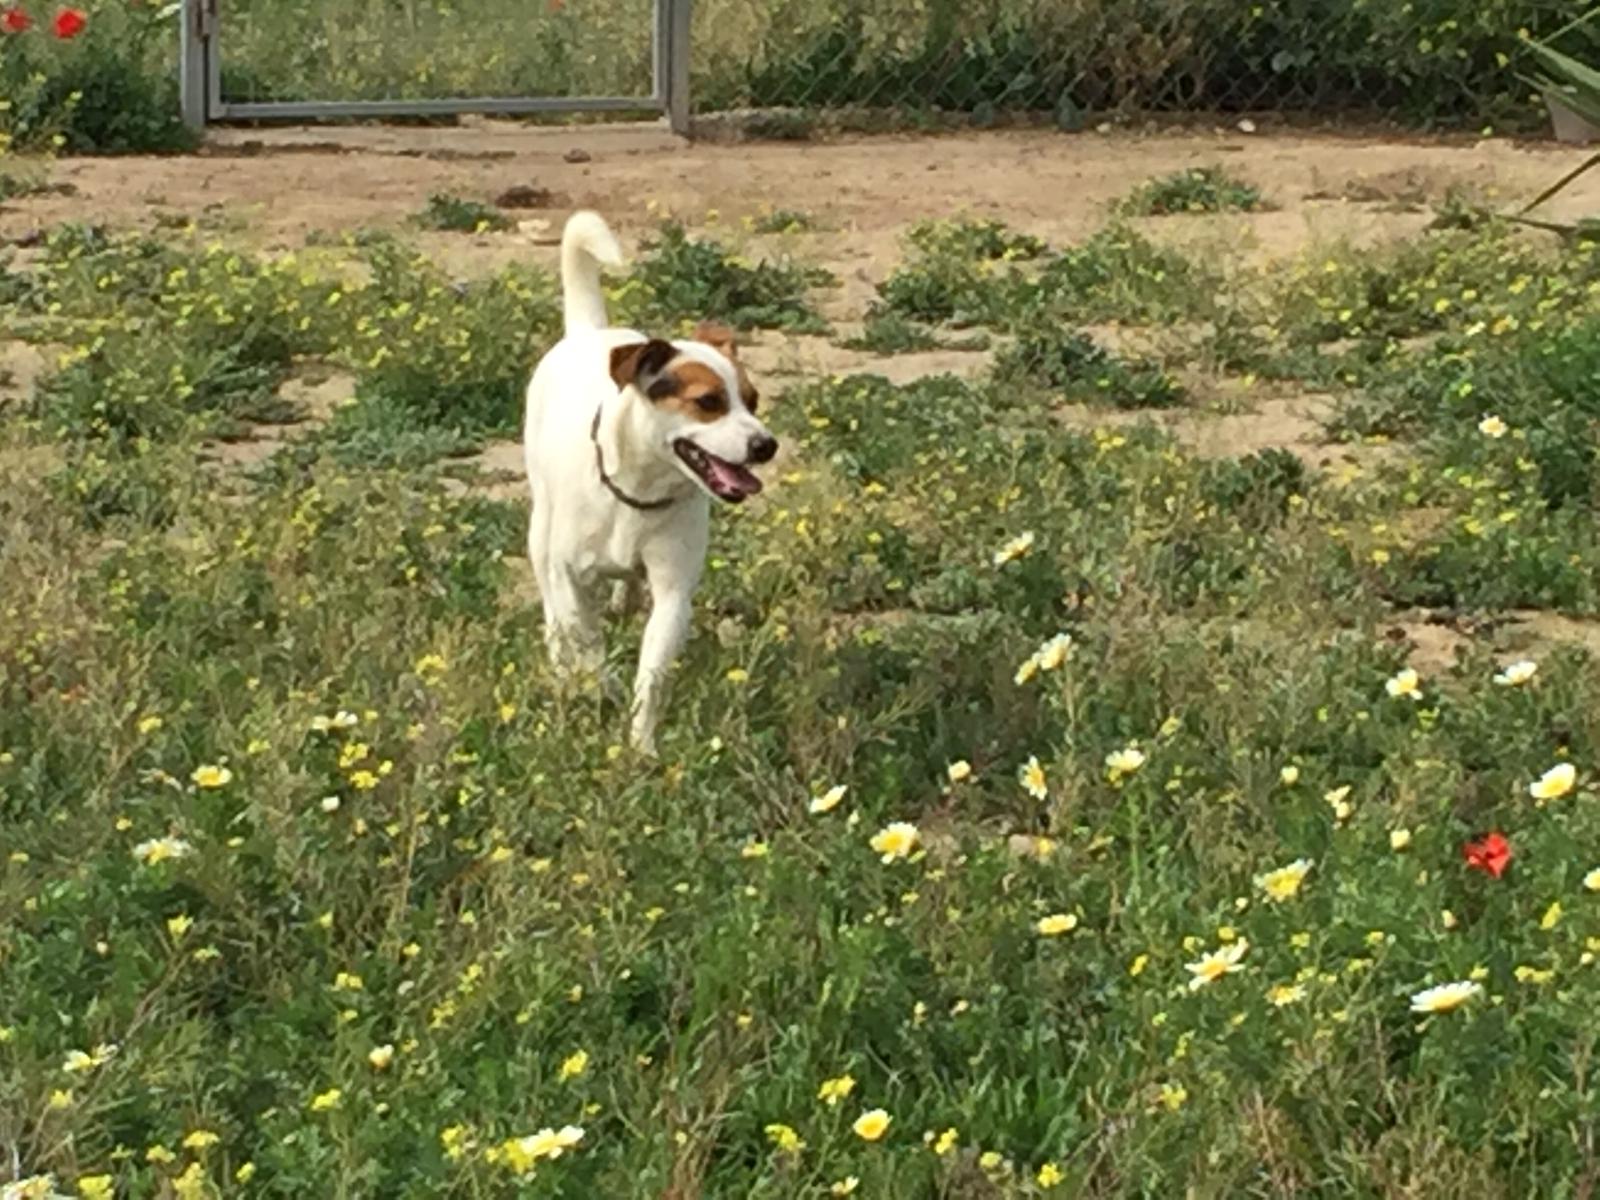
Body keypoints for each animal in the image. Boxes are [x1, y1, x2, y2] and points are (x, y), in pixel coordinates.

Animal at [523, 211, 777, 755]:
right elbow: (587, 643)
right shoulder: (570, 574)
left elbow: (653, 673)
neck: (636, 494)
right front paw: (598, 686)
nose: (767, 445)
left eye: (753, 400)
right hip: (540, 528)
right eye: (708, 401)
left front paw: (641, 746)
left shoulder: (674, 589)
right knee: (554, 609)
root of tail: (589, 331)